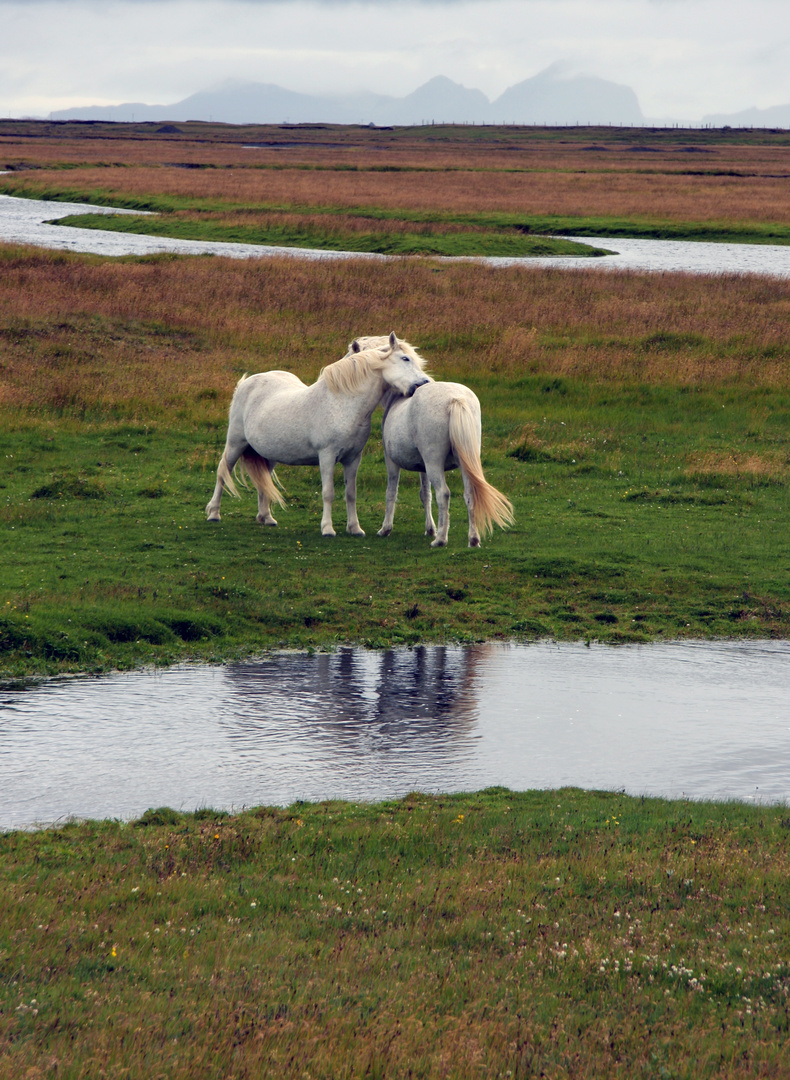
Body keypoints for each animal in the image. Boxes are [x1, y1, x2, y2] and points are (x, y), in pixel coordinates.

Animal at [204, 326, 425, 533]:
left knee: (263, 480)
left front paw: (355, 528)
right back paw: (214, 513)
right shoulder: (326, 456)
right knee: (223, 472)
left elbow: (351, 494)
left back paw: (266, 517)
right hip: (236, 443)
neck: (343, 403)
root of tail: (246, 382)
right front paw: (327, 528)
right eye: (405, 358)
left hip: (269, 453)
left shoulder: (353, 459)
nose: (423, 384)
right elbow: (328, 493)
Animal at [347, 334, 510, 548]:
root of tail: (455, 399)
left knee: (444, 494)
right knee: (469, 494)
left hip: (434, 463)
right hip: (464, 462)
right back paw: (473, 540)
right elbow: (425, 494)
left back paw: (440, 540)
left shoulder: (392, 461)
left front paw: (386, 529)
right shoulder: (422, 466)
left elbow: (392, 492)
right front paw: (430, 529)